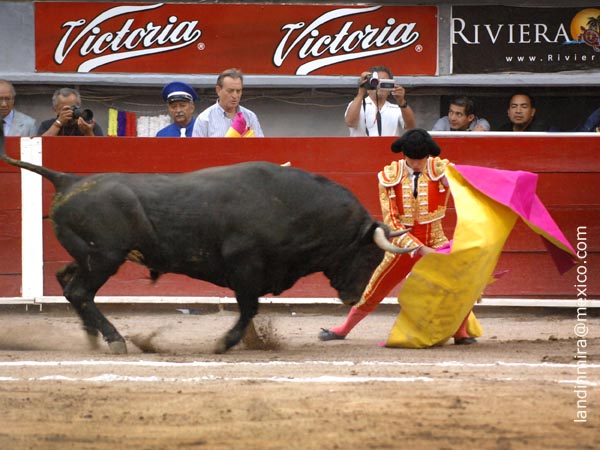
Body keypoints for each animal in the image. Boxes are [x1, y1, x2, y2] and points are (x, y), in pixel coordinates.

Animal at [0, 132, 412, 354]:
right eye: (368, 254)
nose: (355, 297)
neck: (295, 206)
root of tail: (67, 178)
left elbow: (250, 311)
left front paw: (250, 342)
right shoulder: (245, 267)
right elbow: (249, 308)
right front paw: (225, 343)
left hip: (89, 256)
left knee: (65, 282)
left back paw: (92, 338)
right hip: (103, 258)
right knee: (80, 291)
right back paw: (115, 340)